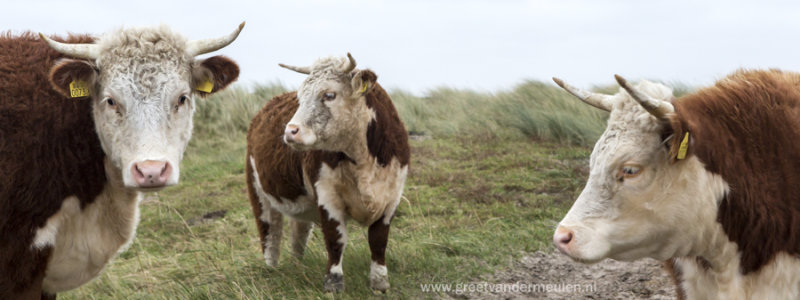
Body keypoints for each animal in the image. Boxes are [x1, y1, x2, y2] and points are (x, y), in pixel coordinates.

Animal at [245, 52, 410, 292]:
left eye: (329, 94)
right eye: (300, 97)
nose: (290, 131)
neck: (363, 159)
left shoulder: (392, 196)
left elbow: (379, 240)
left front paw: (380, 282)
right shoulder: (327, 195)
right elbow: (335, 239)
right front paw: (333, 283)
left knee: (298, 233)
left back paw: (298, 265)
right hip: (258, 191)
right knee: (269, 233)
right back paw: (271, 269)